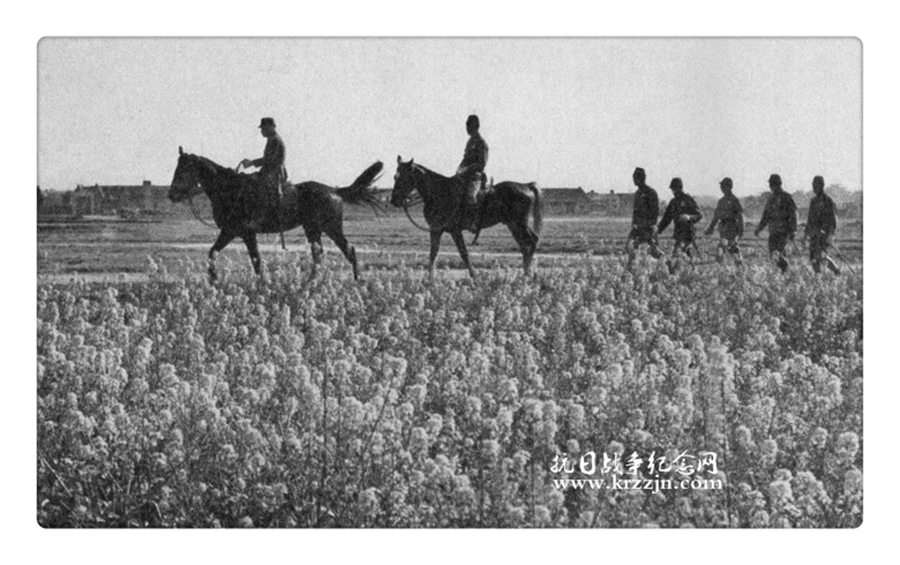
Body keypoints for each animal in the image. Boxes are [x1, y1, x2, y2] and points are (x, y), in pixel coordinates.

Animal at [168, 147, 382, 282]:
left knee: (348, 250)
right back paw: (311, 283)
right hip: (313, 229)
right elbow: (214, 253)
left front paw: (261, 285)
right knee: (319, 256)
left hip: (332, 228)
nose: (172, 194)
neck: (230, 190)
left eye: (183, 169)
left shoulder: (244, 232)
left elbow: (255, 260)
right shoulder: (231, 232)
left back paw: (357, 280)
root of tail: (335, 191)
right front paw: (213, 280)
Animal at [390, 156, 542, 277]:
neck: (439, 192)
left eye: (404, 177)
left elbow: (463, 253)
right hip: (513, 224)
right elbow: (434, 253)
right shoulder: (437, 230)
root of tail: (527, 185)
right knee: (525, 245)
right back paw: (527, 272)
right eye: (394, 177)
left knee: (531, 241)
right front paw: (430, 279)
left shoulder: (453, 230)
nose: (394, 200)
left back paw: (528, 273)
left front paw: (474, 275)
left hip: (520, 223)